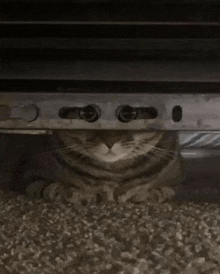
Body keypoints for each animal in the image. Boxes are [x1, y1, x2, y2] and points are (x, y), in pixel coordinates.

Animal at [0, 131, 186, 206]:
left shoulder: (174, 182)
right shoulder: (33, 175)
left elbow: (161, 191)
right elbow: (59, 189)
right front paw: (86, 195)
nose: (110, 142)